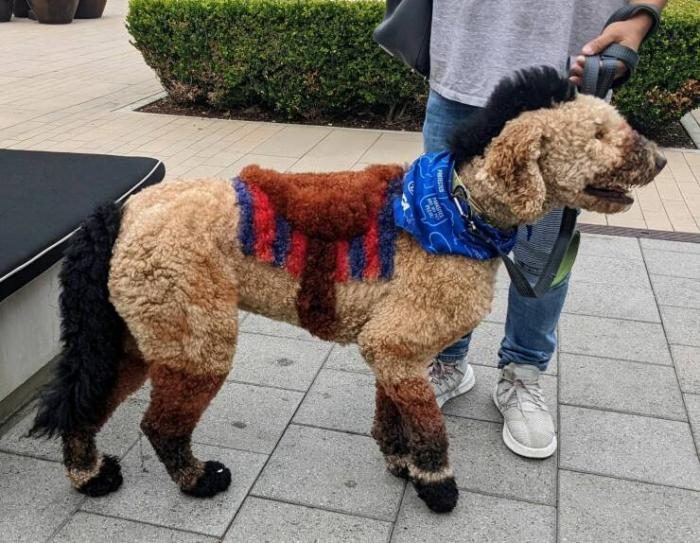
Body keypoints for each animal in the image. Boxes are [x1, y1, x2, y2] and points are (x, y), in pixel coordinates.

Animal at [31, 67, 665, 513]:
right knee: (159, 426)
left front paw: (399, 462)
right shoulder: (397, 342)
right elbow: (430, 428)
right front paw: (436, 486)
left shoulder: (394, 350)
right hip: (195, 340)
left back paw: (90, 479)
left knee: (85, 407)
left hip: (136, 337)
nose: (659, 158)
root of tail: (123, 211)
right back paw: (197, 482)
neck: (458, 207)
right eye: (599, 133)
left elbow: (394, 416)